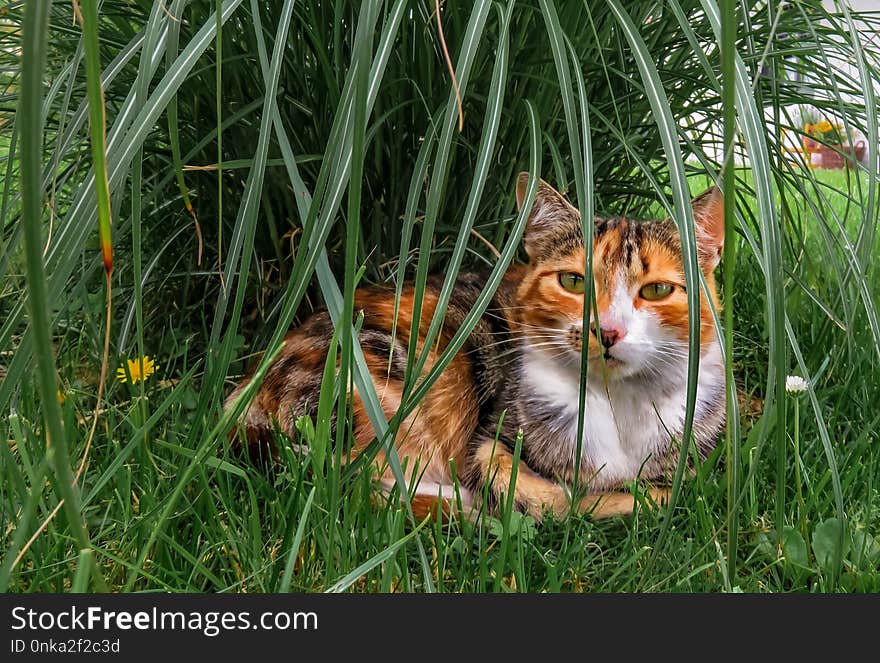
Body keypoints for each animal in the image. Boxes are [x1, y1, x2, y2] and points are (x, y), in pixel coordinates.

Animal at [227, 175, 728, 524]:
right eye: (572, 281)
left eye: (658, 289)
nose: (607, 331)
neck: (618, 404)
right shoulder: (495, 435)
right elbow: (540, 489)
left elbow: (667, 488)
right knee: (352, 479)